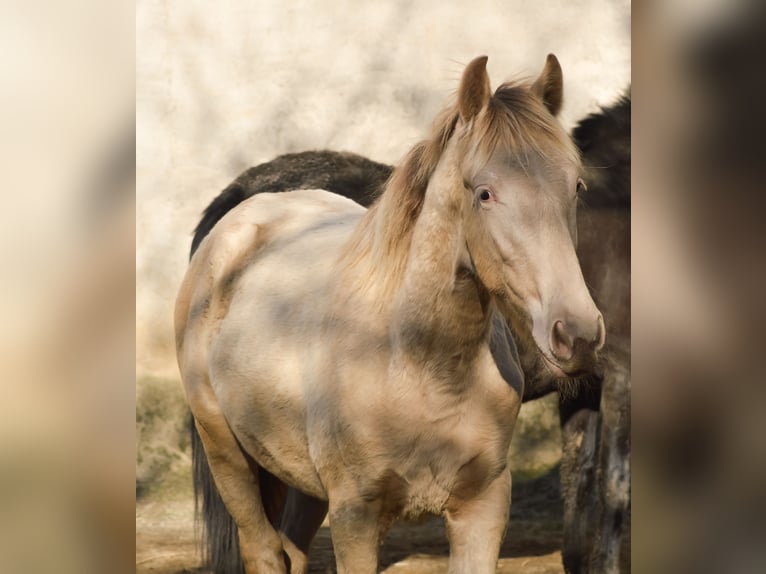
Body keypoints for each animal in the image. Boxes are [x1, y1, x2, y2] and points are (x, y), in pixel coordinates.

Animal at [176, 55, 608, 574]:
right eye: (484, 193)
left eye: (576, 185)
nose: (578, 335)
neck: (416, 365)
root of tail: (239, 215)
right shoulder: (355, 517)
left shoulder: (483, 507)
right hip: (227, 454)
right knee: (263, 550)